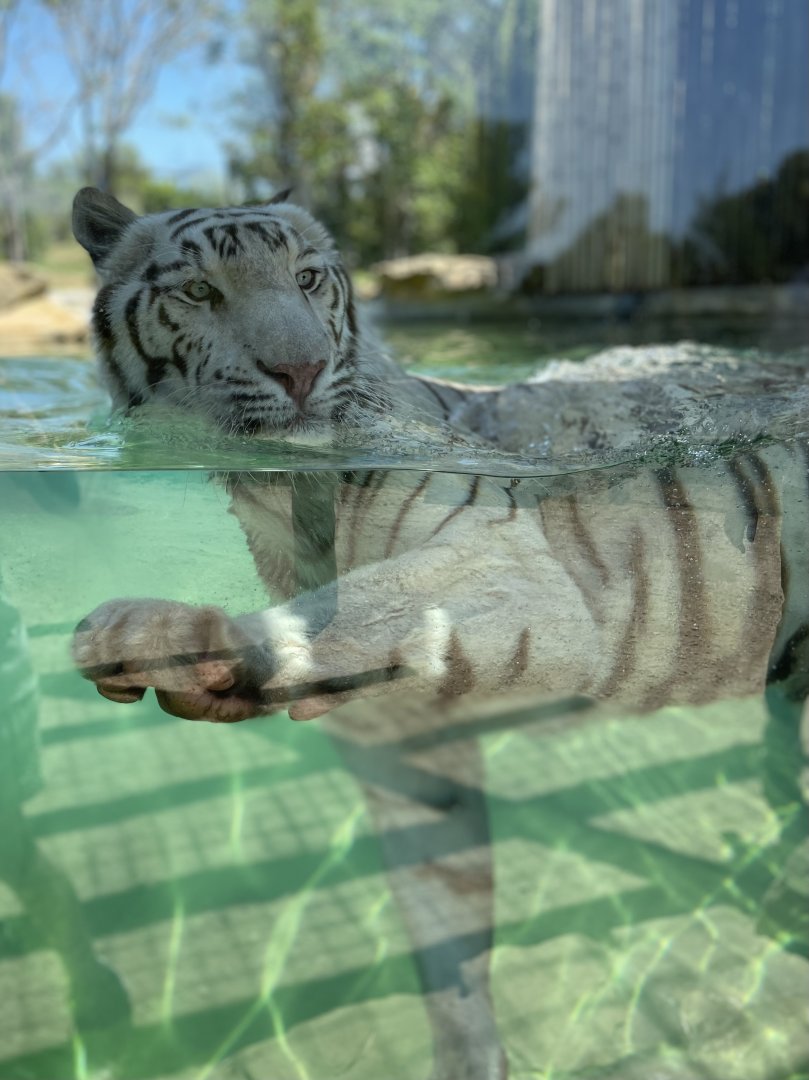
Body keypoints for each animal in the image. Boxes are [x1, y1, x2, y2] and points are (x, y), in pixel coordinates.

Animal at [70, 187, 809, 1080]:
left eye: (306, 278)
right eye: (199, 291)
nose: (300, 372)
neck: (283, 499)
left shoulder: (512, 571)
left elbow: (362, 599)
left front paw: (176, 635)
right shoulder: (404, 752)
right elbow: (445, 934)